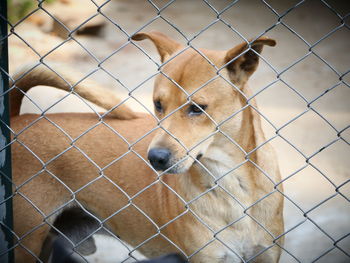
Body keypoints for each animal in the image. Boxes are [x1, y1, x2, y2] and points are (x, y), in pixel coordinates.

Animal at [10, 32, 284, 262]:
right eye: (158, 104)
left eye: (197, 108)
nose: (155, 158)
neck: (231, 182)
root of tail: (16, 120)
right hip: (27, 242)